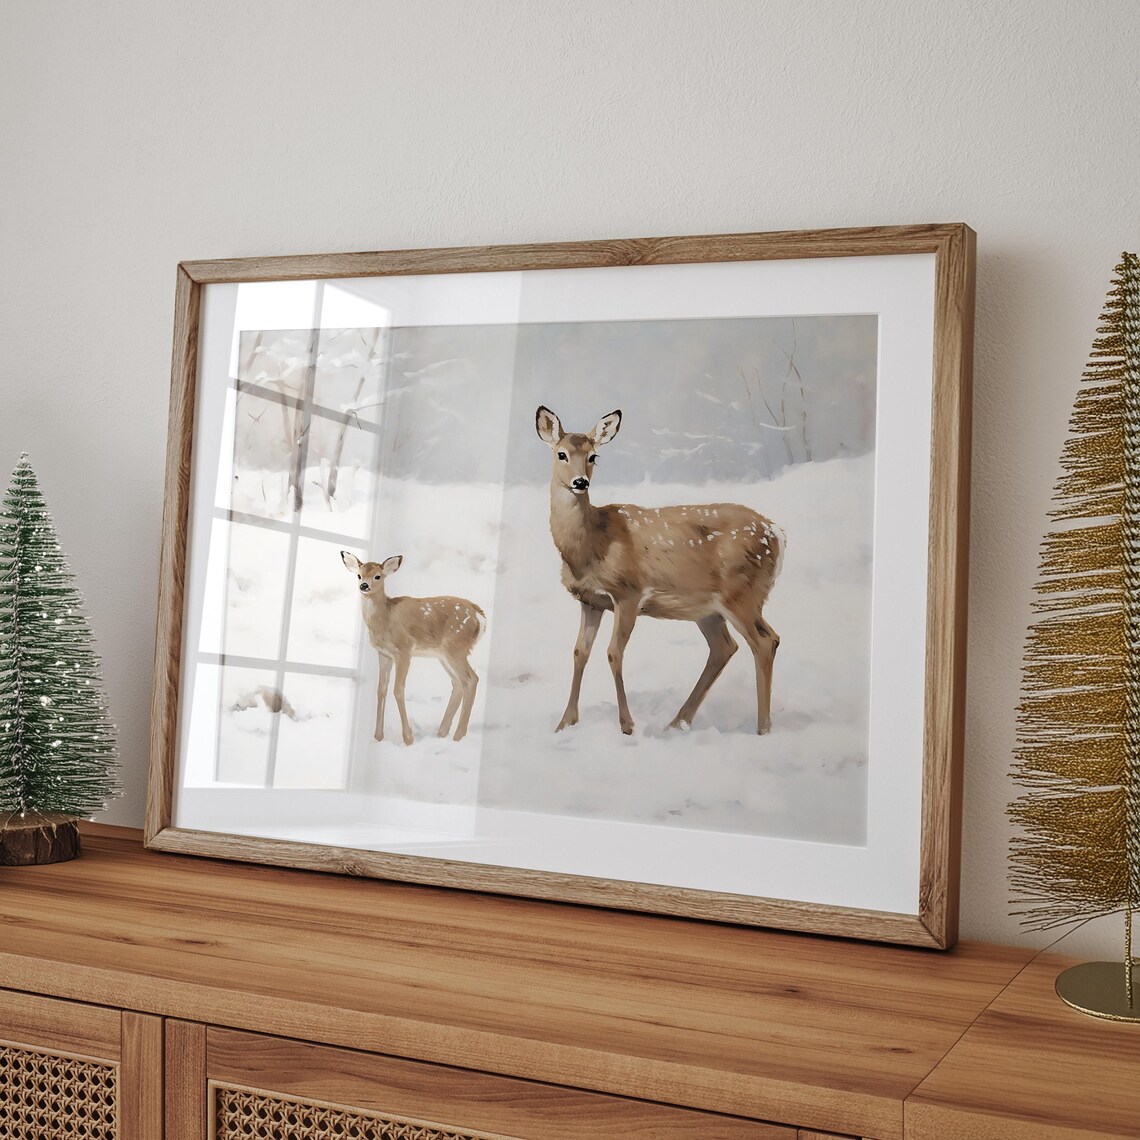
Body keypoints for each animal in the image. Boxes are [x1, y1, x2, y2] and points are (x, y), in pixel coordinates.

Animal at [341, 551, 486, 745]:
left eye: (378, 576)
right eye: (359, 575)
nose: (364, 585)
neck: (384, 619)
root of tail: (480, 616)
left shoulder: (404, 649)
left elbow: (398, 689)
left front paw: (408, 738)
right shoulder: (384, 654)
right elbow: (381, 690)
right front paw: (378, 737)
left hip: (456, 647)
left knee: (471, 679)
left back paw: (458, 736)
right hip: (443, 654)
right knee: (457, 682)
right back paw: (442, 733)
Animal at [535, 405, 784, 736]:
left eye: (593, 456)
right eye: (561, 454)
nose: (580, 483)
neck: (590, 545)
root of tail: (777, 533)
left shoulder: (628, 593)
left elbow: (614, 653)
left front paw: (627, 725)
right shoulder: (591, 601)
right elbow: (579, 652)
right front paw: (565, 723)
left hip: (742, 593)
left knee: (765, 641)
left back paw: (763, 729)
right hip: (710, 608)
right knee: (725, 647)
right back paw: (678, 722)